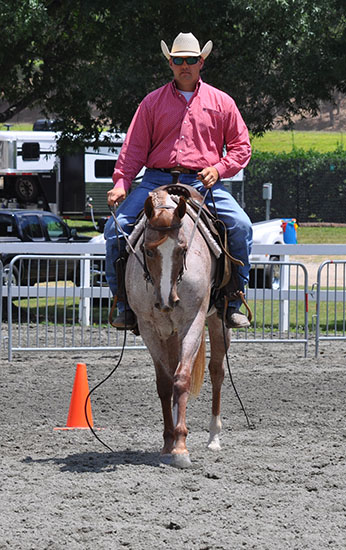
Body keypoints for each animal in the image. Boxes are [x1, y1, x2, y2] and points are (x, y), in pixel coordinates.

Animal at [125, 187, 231, 470]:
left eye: (182, 249)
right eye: (148, 251)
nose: (167, 301)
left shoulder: (192, 322)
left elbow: (182, 379)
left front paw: (181, 448)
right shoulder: (149, 328)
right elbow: (165, 383)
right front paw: (169, 442)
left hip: (218, 322)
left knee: (217, 371)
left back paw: (214, 437)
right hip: (169, 334)